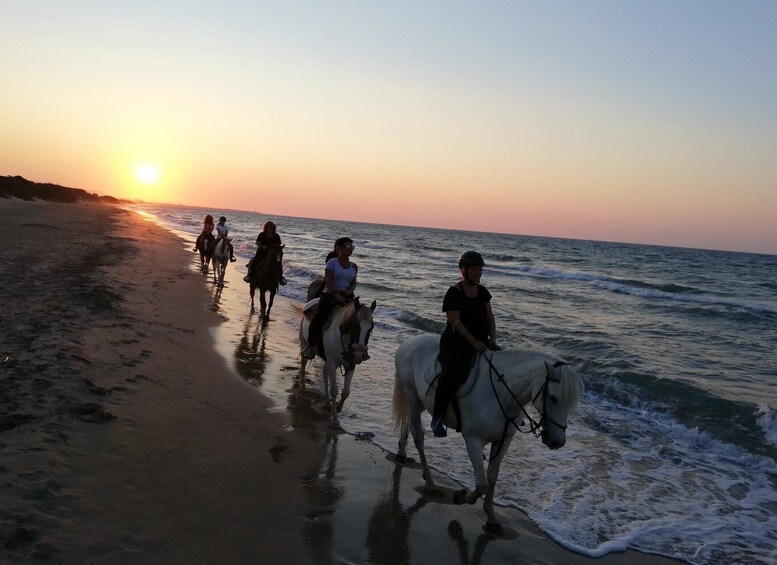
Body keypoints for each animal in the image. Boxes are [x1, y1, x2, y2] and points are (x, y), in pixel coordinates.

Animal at [298, 298, 378, 426]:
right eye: (354, 325)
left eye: (371, 328)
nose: (359, 355)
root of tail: (311, 301)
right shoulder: (332, 362)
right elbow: (334, 390)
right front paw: (334, 418)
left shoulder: (351, 365)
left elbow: (346, 392)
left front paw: (339, 408)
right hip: (304, 342)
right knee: (304, 363)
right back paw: (303, 388)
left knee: (325, 375)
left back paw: (326, 402)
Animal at [394, 332, 584, 532]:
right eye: (553, 398)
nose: (557, 442)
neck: (501, 392)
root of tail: (409, 343)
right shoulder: (473, 440)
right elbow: (482, 484)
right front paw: (461, 497)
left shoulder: (503, 440)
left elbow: (492, 477)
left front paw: (491, 517)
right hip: (412, 396)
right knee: (418, 437)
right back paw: (430, 483)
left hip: (420, 402)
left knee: (408, 423)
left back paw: (401, 453)